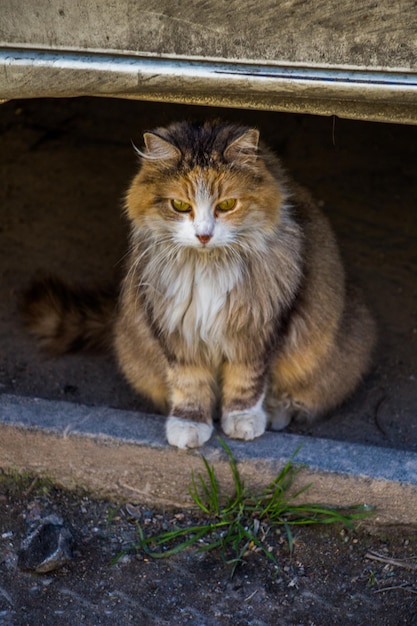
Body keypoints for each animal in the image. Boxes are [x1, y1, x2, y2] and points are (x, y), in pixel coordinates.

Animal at [21, 118, 376, 448]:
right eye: (180, 206)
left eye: (226, 205)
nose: (204, 235)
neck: (208, 267)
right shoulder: (177, 329)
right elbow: (189, 384)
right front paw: (190, 425)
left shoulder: (256, 329)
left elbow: (246, 381)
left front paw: (243, 420)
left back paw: (275, 412)